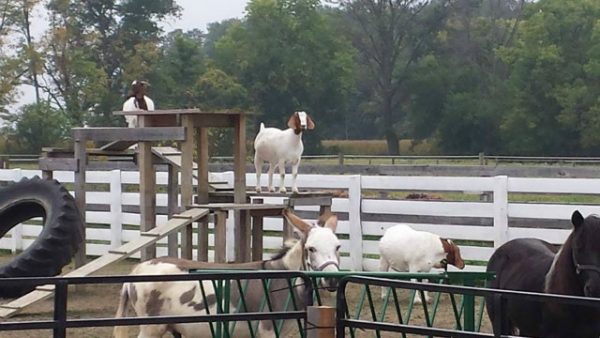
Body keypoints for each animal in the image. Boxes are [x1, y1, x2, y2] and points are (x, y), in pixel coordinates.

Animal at [111, 210, 338, 338]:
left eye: (338, 246)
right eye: (311, 249)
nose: (332, 279)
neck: (282, 280)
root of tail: (138, 269)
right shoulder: (268, 330)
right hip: (151, 328)